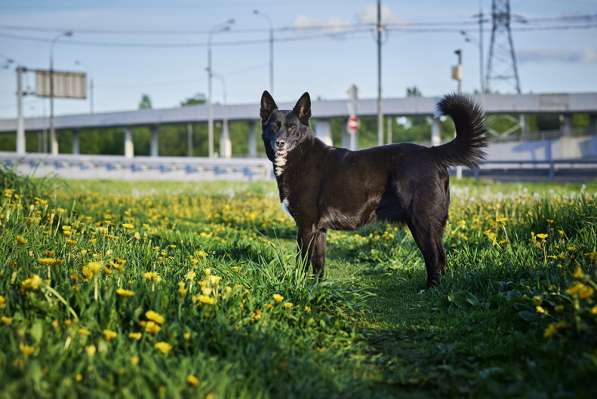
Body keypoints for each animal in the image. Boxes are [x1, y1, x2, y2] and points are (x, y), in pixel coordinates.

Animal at [258, 90, 486, 288]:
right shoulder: (319, 230)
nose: (280, 143)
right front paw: (316, 289)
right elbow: (318, 265)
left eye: (291, 128)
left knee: (435, 258)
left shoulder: (306, 227)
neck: (300, 156)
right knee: (441, 256)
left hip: (422, 222)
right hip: (431, 225)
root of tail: (432, 152)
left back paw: (430, 290)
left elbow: (302, 264)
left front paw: (300, 286)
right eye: (273, 127)